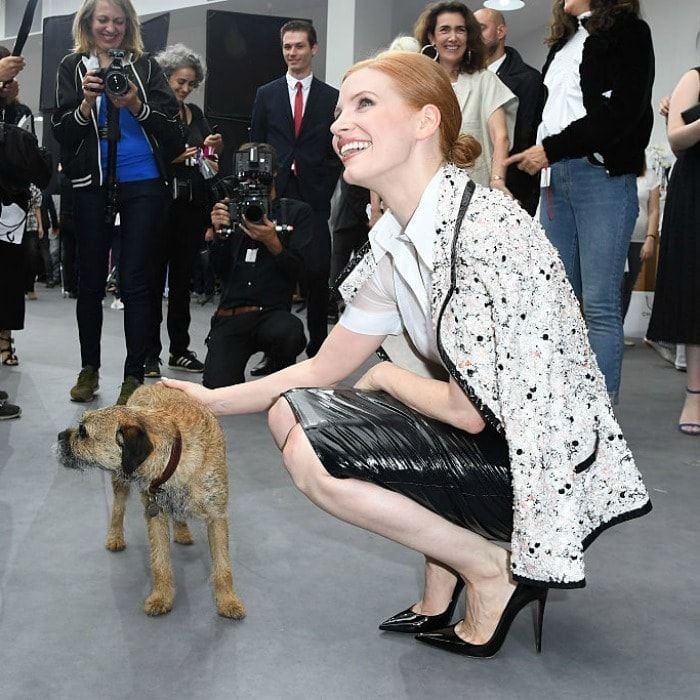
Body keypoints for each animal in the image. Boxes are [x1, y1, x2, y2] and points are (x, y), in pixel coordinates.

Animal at [56, 382, 246, 616]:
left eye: (83, 432)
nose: (59, 436)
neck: (175, 456)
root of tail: (148, 384)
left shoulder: (216, 516)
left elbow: (222, 564)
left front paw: (228, 600)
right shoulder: (155, 515)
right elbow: (160, 561)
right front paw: (161, 597)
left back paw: (182, 531)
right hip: (120, 480)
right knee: (118, 509)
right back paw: (115, 537)